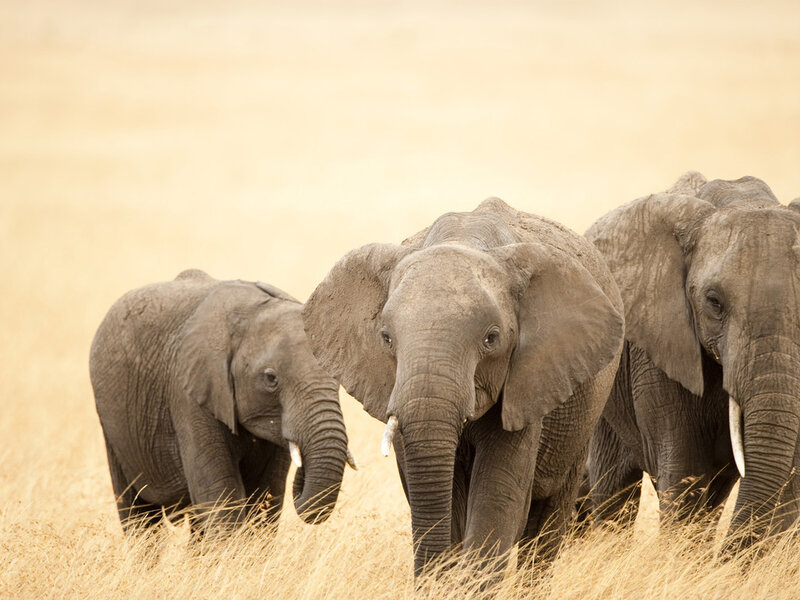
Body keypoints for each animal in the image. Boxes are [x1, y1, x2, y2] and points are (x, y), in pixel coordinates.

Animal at [90, 269, 354, 533]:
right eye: (271, 378)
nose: (302, 477)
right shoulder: (189, 393)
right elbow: (221, 500)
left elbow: (265, 500)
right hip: (113, 427)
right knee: (139, 516)